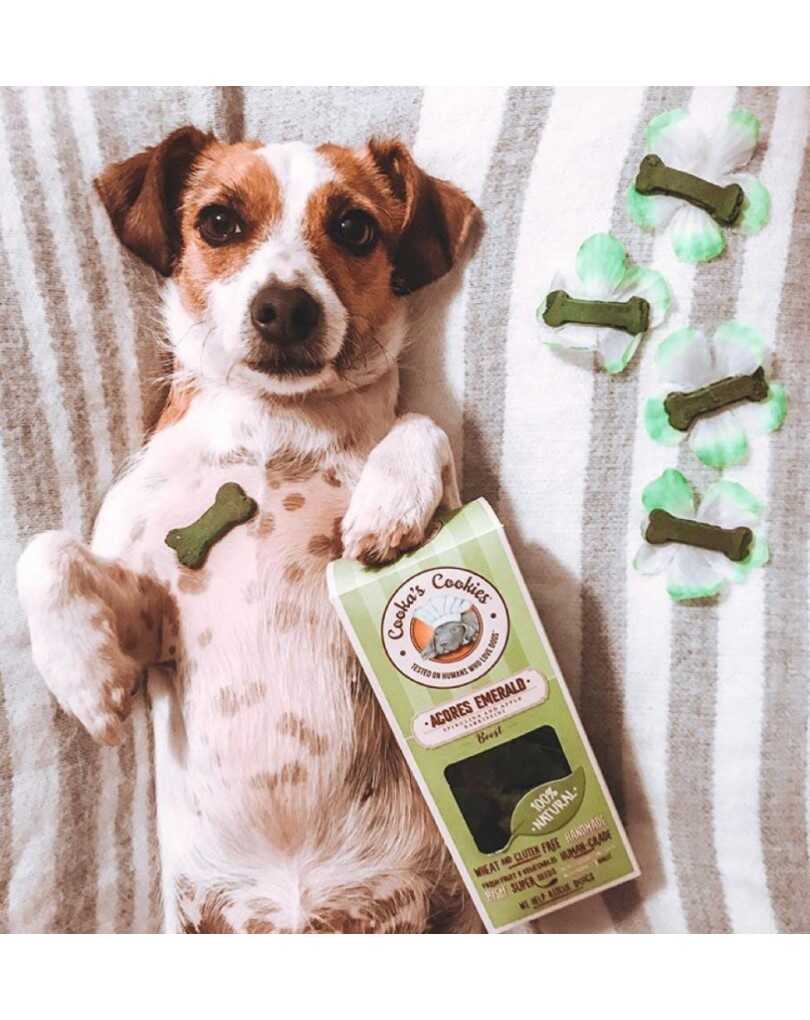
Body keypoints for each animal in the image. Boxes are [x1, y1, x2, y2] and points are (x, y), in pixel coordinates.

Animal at [16, 126, 484, 933]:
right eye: (219, 222)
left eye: (355, 227)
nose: (285, 308)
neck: (275, 428)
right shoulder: (151, 619)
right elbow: (44, 551)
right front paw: (86, 680)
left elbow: (421, 426)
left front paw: (388, 503)